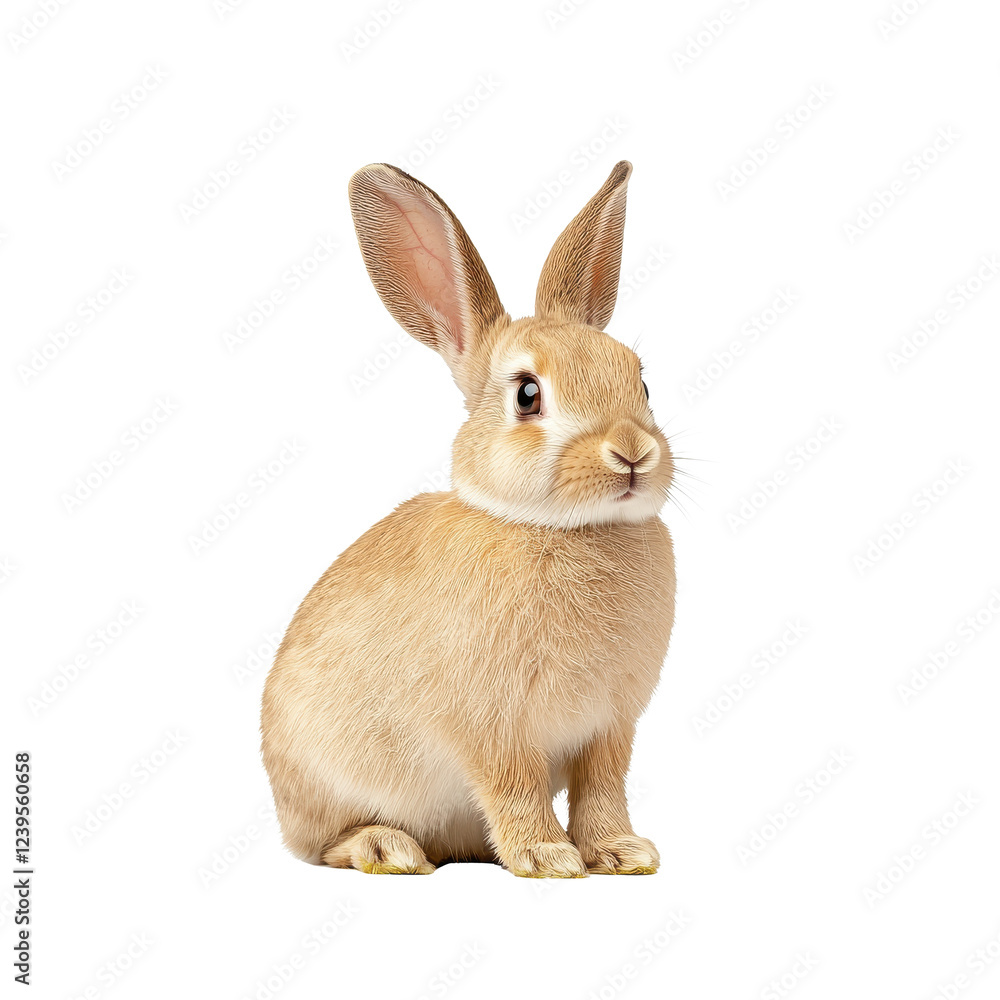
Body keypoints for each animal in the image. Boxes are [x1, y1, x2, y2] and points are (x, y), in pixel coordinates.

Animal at [261, 160, 676, 878]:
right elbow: (516, 788)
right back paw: (388, 847)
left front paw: (621, 852)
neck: (565, 528)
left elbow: (602, 789)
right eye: (528, 395)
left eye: (641, 383)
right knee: (323, 844)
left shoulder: (609, 727)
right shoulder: (494, 728)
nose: (632, 452)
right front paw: (547, 856)